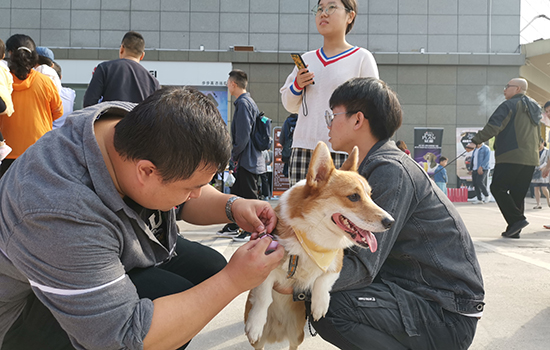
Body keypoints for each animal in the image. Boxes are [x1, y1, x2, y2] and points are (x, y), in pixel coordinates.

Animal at [244, 141, 394, 348]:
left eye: (370, 195)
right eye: (354, 197)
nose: (390, 222)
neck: (314, 238)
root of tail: (278, 332)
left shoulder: (335, 261)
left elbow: (324, 279)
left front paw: (319, 305)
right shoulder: (265, 263)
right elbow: (263, 297)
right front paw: (255, 324)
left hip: (297, 334)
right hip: (262, 344)